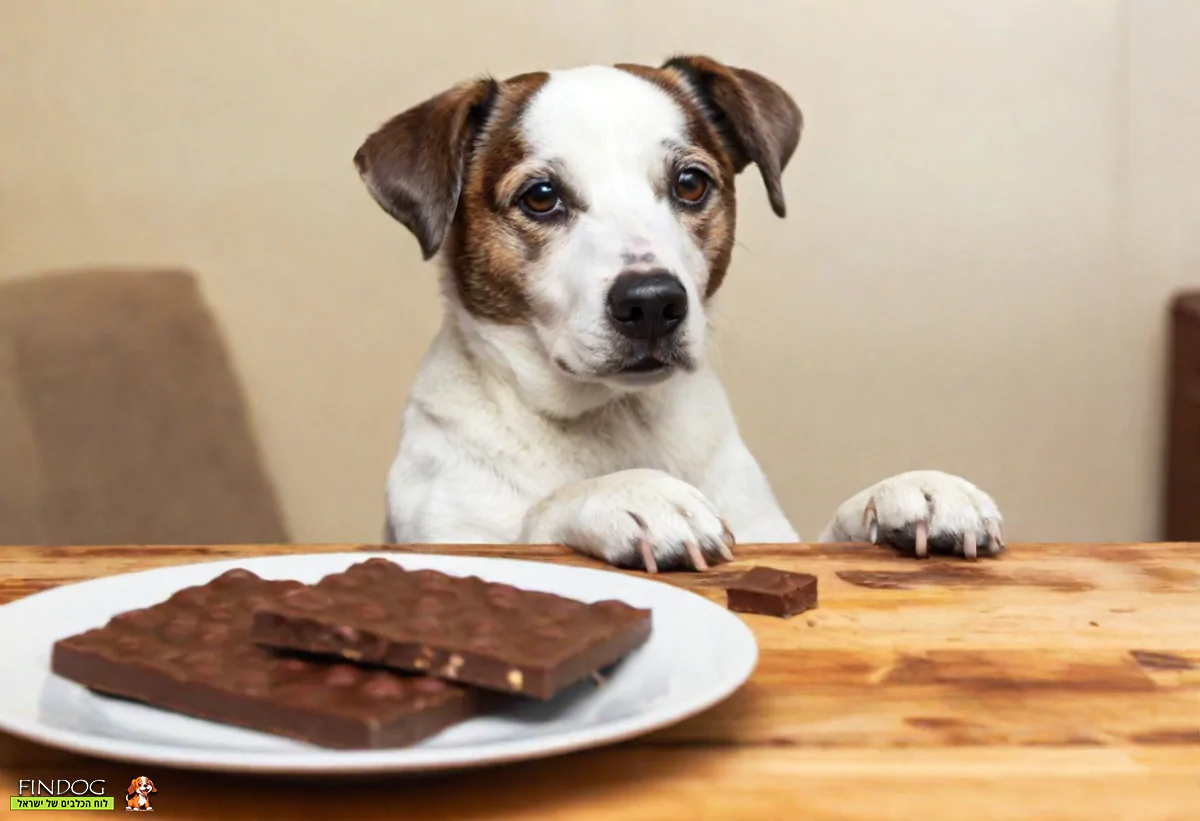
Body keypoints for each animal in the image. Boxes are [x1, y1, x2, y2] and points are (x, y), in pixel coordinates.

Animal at [355, 52, 1003, 571]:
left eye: (691, 183)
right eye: (541, 197)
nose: (651, 303)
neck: (613, 419)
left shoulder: (770, 531)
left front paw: (912, 490)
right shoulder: (444, 539)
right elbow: (534, 518)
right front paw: (631, 495)